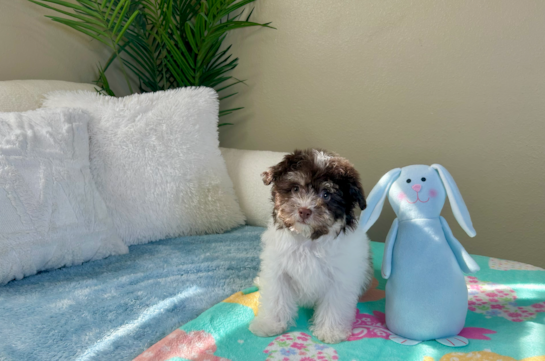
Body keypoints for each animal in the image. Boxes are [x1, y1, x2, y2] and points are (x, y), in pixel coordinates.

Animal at [249, 148, 372, 342]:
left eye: (326, 195)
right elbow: (275, 297)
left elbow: (335, 303)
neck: (307, 240)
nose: (304, 210)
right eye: (295, 188)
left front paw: (330, 331)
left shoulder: (341, 277)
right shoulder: (278, 270)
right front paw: (270, 324)